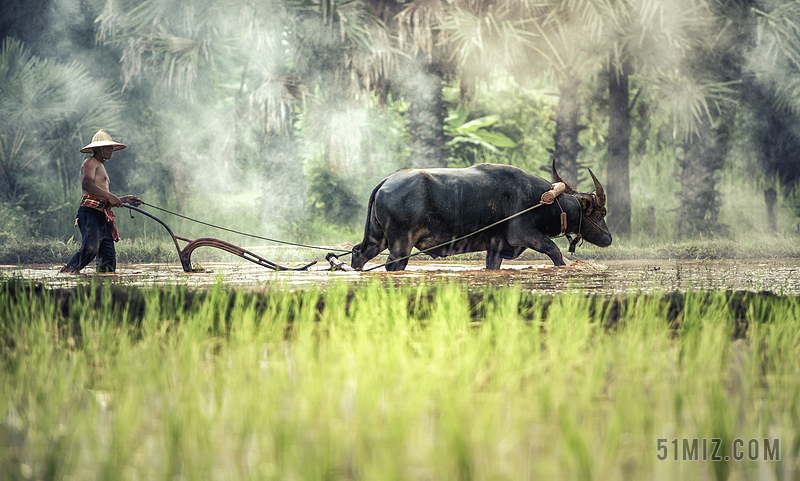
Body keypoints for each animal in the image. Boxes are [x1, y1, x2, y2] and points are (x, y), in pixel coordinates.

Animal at [352, 162, 612, 270]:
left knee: (359, 253)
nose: (609, 238)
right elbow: (555, 252)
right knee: (393, 265)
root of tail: (387, 181)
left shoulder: (495, 248)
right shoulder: (524, 234)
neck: (543, 200)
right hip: (400, 244)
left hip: (377, 238)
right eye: (602, 212)